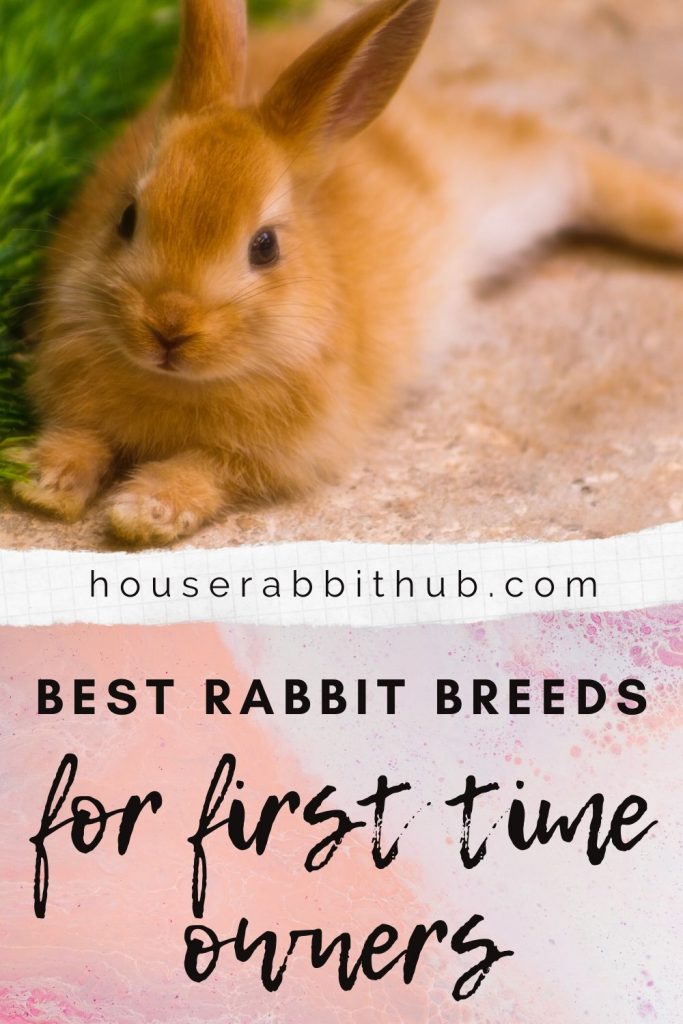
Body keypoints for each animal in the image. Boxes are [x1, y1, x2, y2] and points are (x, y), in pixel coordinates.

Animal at [10, 0, 683, 545]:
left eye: (265, 247)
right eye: (126, 217)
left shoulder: (273, 454)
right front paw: (41, 482)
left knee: (570, 156)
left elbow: (203, 470)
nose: (168, 328)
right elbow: (82, 437)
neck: (176, 382)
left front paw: (144, 512)